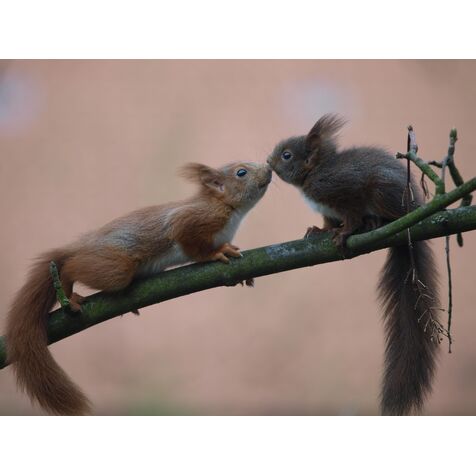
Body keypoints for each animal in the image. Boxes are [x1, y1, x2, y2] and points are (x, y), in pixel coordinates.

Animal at [268, 113, 442, 414]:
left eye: (287, 155)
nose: (268, 161)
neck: (315, 174)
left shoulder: (346, 191)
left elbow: (351, 215)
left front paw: (344, 233)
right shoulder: (328, 210)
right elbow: (328, 222)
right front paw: (318, 230)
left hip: (382, 190)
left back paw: (377, 222)